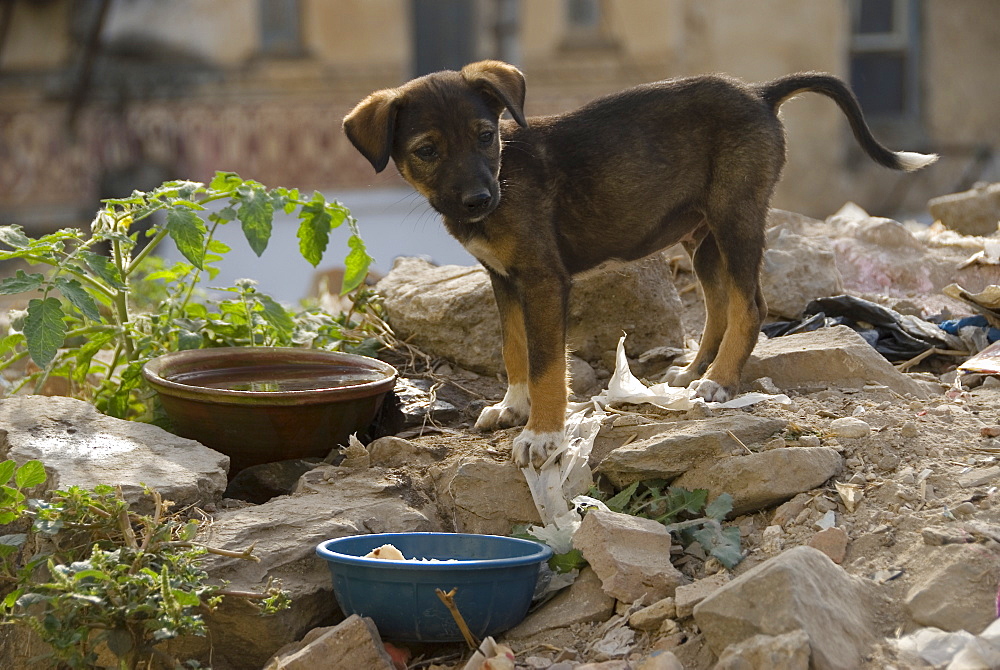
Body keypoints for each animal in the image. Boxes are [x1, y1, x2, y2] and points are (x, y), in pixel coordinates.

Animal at [346, 61, 936, 468]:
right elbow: (515, 351)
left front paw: (542, 434)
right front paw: (513, 408)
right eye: (426, 150)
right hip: (701, 237)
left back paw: (718, 382)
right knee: (719, 305)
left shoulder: (542, 279)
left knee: (751, 304)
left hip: (736, 215)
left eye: (485, 135)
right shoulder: (504, 279)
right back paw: (695, 371)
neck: (503, 175)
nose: (478, 200)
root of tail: (759, 93)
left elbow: (546, 364)